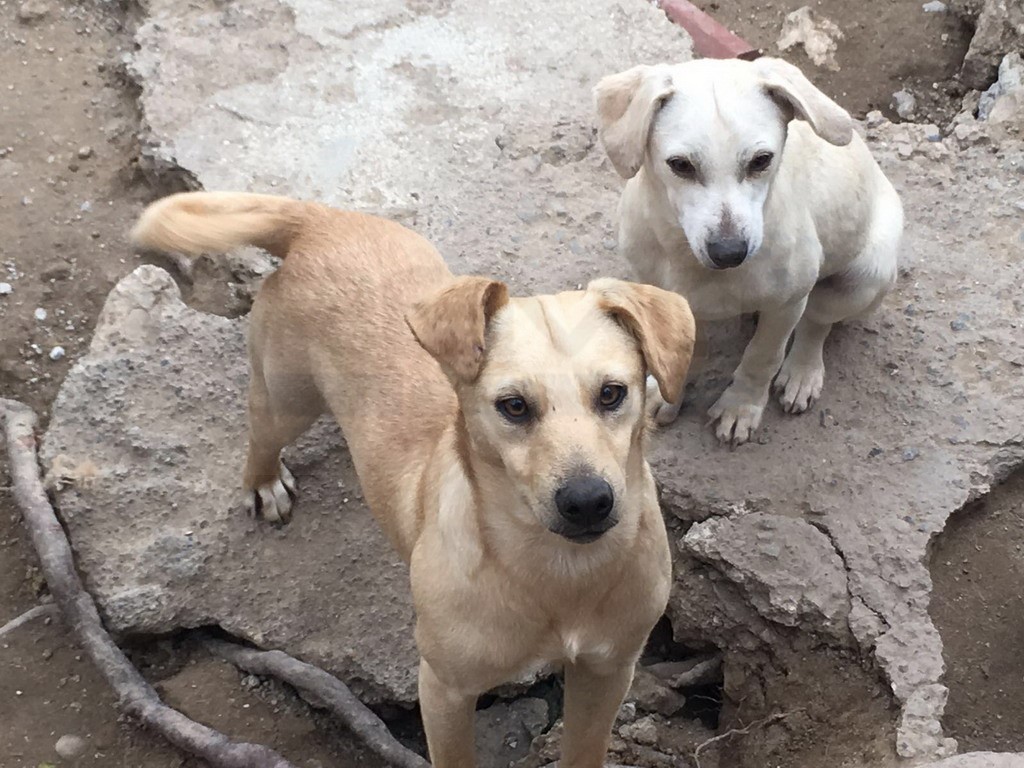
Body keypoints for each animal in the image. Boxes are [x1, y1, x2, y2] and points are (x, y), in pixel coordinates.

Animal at [132, 191, 696, 768]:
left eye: (612, 393)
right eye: (514, 406)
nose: (587, 502)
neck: (558, 575)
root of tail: (320, 220)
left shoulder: (607, 671)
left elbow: (584, 749)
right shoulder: (445, 690)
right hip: (287, 399)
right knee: (260, 429)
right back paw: (263, 481)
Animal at [594, 57, 903, 444]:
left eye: (761, 160)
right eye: (680, 165)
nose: (729, 253)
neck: (688, 260)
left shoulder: (786, 306)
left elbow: (761, 357)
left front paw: (740, 407)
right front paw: (666, 394)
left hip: (863, 279)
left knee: (817, 322)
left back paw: (802, 372)